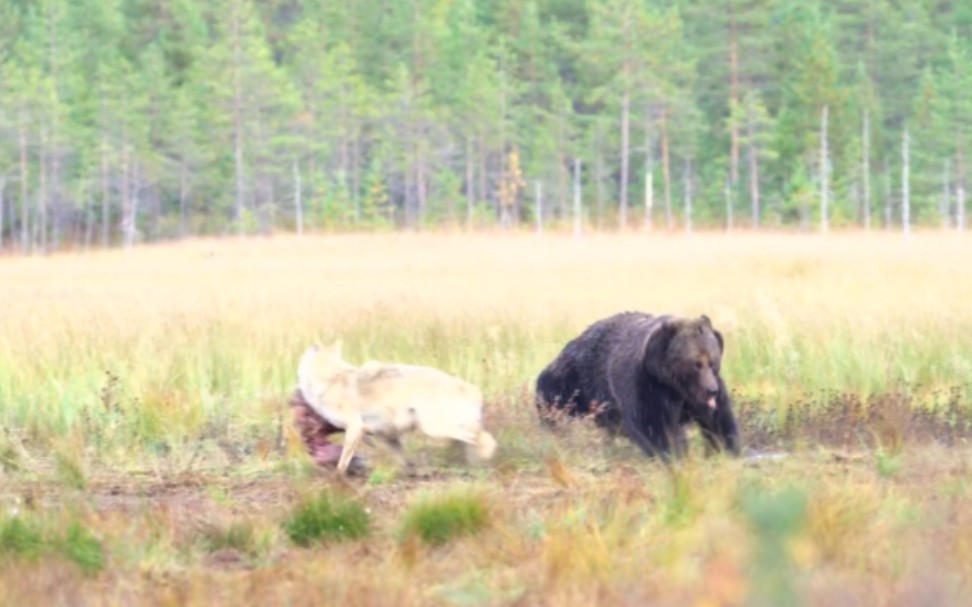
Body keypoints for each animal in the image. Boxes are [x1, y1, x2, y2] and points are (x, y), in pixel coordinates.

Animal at [536, 314, 740, 460]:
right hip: (577, 378)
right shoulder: (647, 385)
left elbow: (720, 421)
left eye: (713, 362)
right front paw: (676, 453)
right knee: (552, 394)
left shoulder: (697, 396)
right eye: (696, 364)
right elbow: (655, 425)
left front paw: (728, 450)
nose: (711, 390)